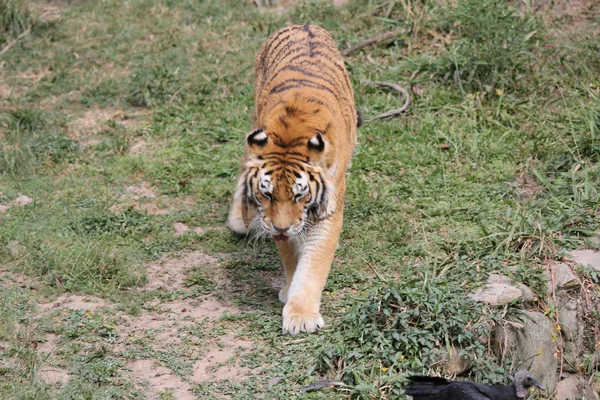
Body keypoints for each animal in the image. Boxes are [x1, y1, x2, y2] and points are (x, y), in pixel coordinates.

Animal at [225, 24, 358, 334]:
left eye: (300, 194)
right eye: (267, 194)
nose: (282, 228)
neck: (291, 136)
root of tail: (302, 25)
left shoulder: (326, 210)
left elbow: (313, 263)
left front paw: (301, 315)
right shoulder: (273, 218)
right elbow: (292, 256)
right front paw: (291, 293)